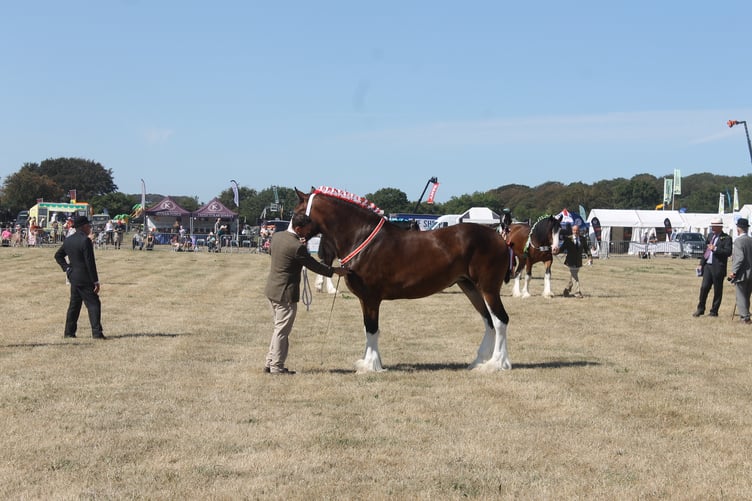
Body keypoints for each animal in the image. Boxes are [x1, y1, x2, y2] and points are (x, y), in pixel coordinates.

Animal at [294, 186, 514, 373]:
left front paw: (371, 366)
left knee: (500, 320)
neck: (363, 239)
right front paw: (368, 362)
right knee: (488, 320)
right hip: (470, 287)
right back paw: (479, 362)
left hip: (488, 289)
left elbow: (372, 329)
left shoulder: (371, 298)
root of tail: (500, 238)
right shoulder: (364, 299)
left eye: (297, 215)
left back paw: (496, 364)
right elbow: (367, 328)